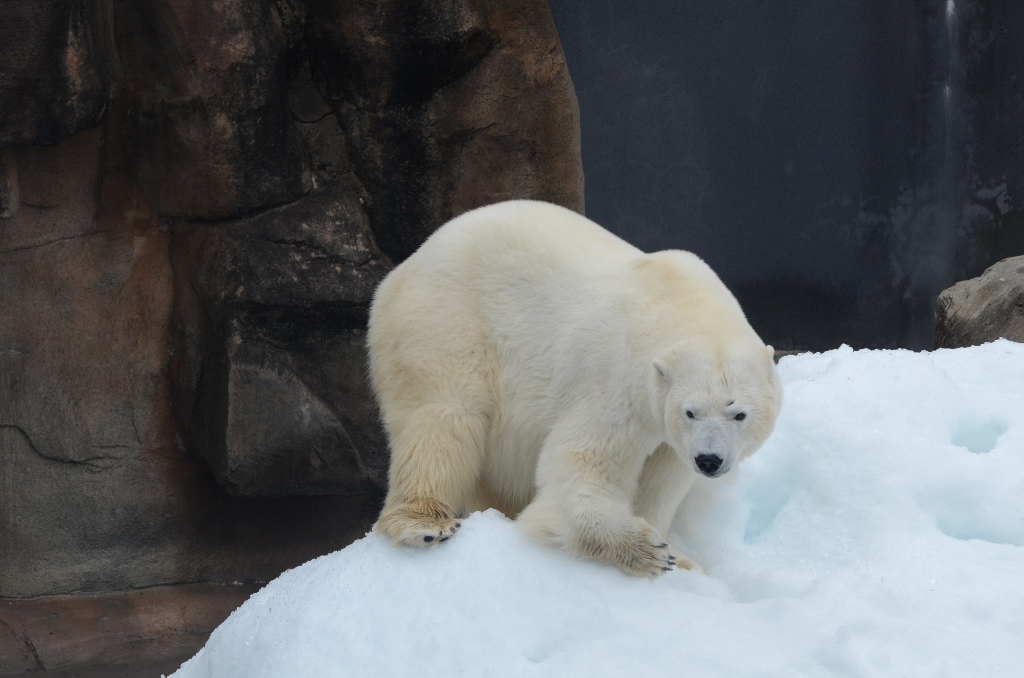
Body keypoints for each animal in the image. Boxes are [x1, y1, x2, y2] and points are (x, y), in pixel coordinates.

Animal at [372, 199, 778, 577]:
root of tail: (402, 269)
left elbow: (660, 483)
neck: (682, 302)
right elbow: (577, 470)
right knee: (442, 417)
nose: (709, 460)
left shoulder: (670, 437)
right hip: (446, 322)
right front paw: (645, 549)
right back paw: (424, 523)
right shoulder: (618, 382)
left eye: (739, 414)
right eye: (690, 411)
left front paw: (679, 557)